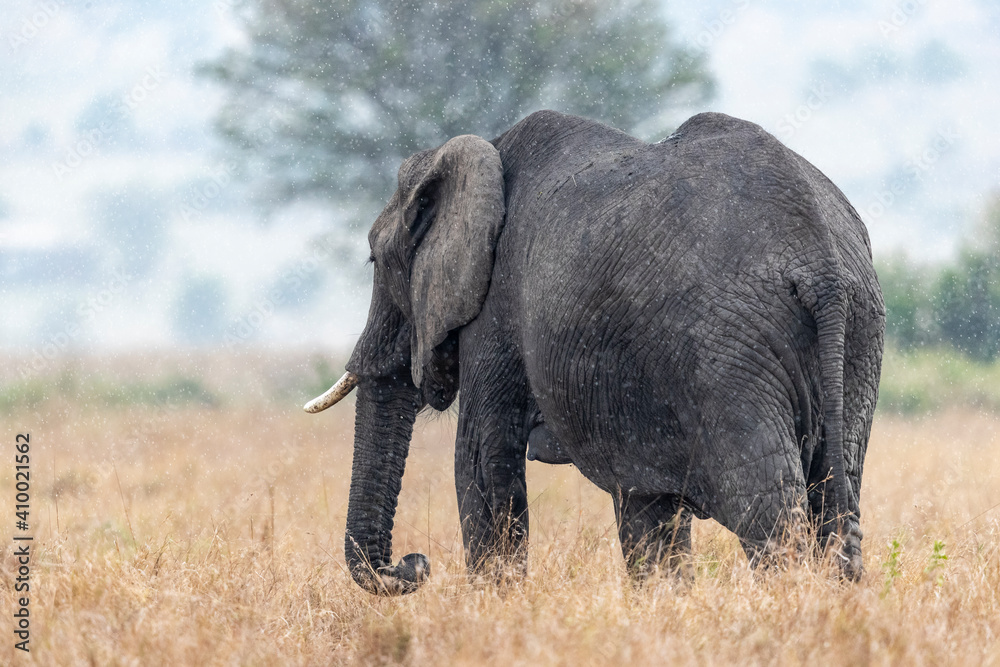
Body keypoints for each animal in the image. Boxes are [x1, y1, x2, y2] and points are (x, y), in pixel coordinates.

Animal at [302, 111, 884, 600]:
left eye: (373, 259)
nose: (413, 564)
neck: (482, 153)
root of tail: (820, 266)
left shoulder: (497, 310)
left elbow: (481, 461)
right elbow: (648, 510)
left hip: (730, 356)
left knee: (768, 512)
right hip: (856, 341)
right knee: (836, 501)